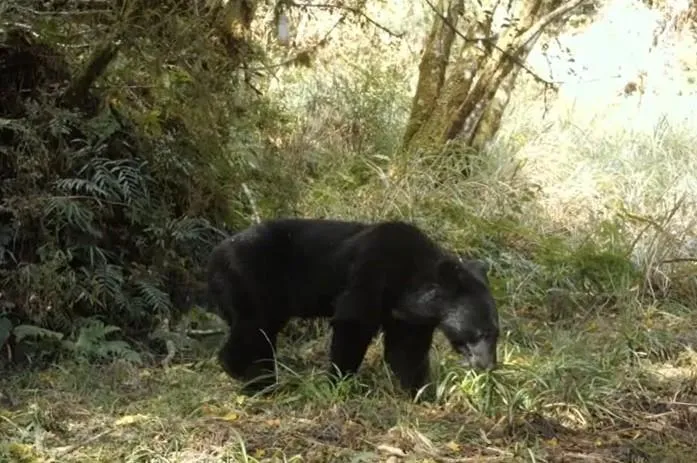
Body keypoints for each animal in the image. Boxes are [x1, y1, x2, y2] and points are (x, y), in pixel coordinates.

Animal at [205, 217, 499, 397]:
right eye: (482, 332)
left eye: (496, 333)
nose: (489, 366)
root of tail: (213, 257)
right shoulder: (371, 270)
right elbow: (353, 322)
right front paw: (339, 382)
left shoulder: (409, 316)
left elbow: (407, 350)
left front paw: (420, 392)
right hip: (250, 281)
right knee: (253, 328)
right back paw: (248, 376)